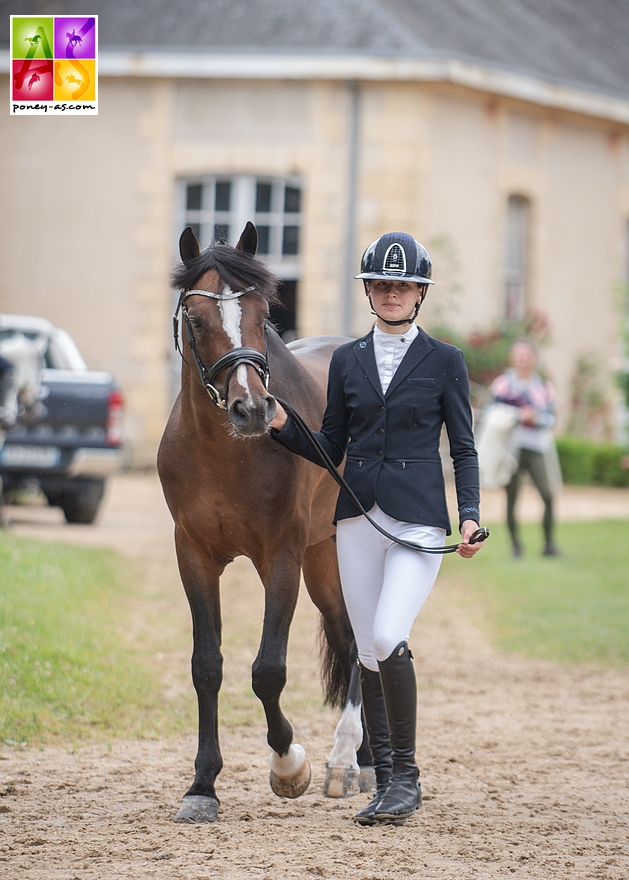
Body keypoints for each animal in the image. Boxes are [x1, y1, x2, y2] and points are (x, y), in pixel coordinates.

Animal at [158, 223, 372, 820]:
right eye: (195, 319)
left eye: (262, 312)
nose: (253, 409)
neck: (224, 453)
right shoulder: (193, 555)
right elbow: (207, 666)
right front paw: (202, 786)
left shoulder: (281, 558)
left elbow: (268, 670)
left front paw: (289, 765)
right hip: (324, 559)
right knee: (348, 639)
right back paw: (365, 762)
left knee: (366, 644)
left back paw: (345, 761)